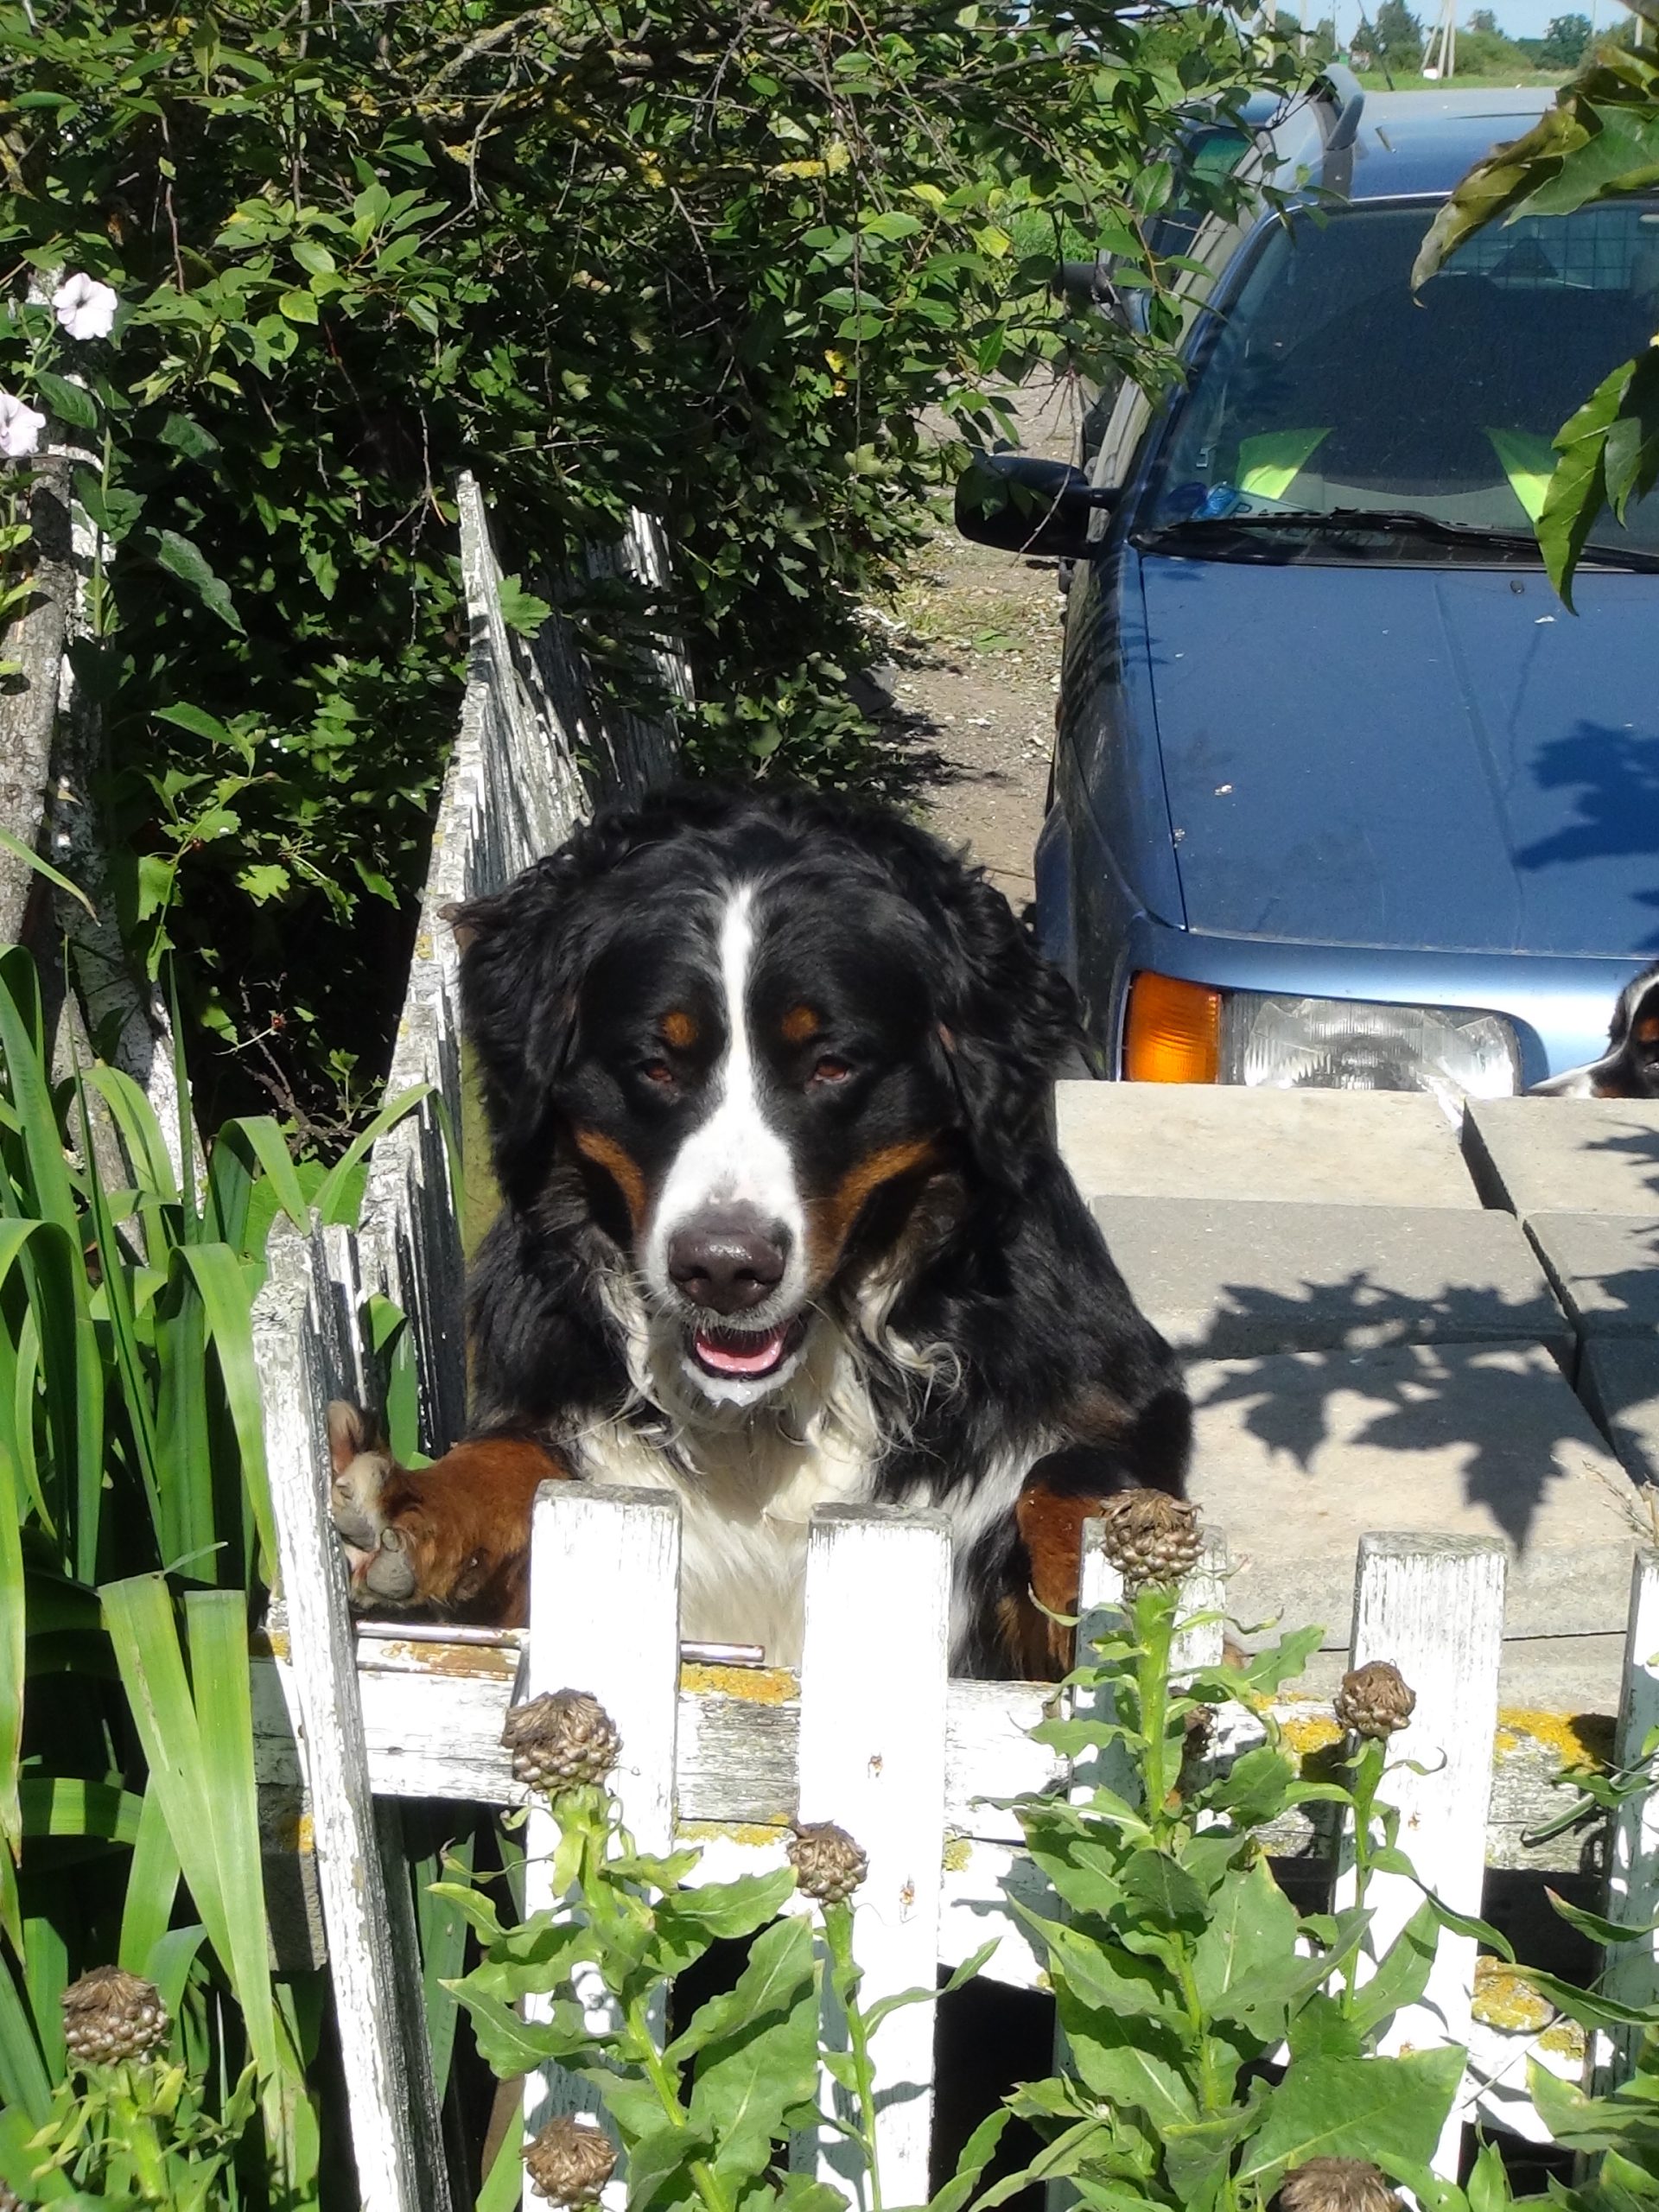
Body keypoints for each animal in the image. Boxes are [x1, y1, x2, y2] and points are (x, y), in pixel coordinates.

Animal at [327, 791, 1185, 1672]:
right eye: (655, 1064)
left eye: (832, 1064)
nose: (723, 1268)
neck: (767, 1417)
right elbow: (511, 1461)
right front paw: (408, 1504)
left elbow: (1071, 1483)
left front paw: (1123, 1577)